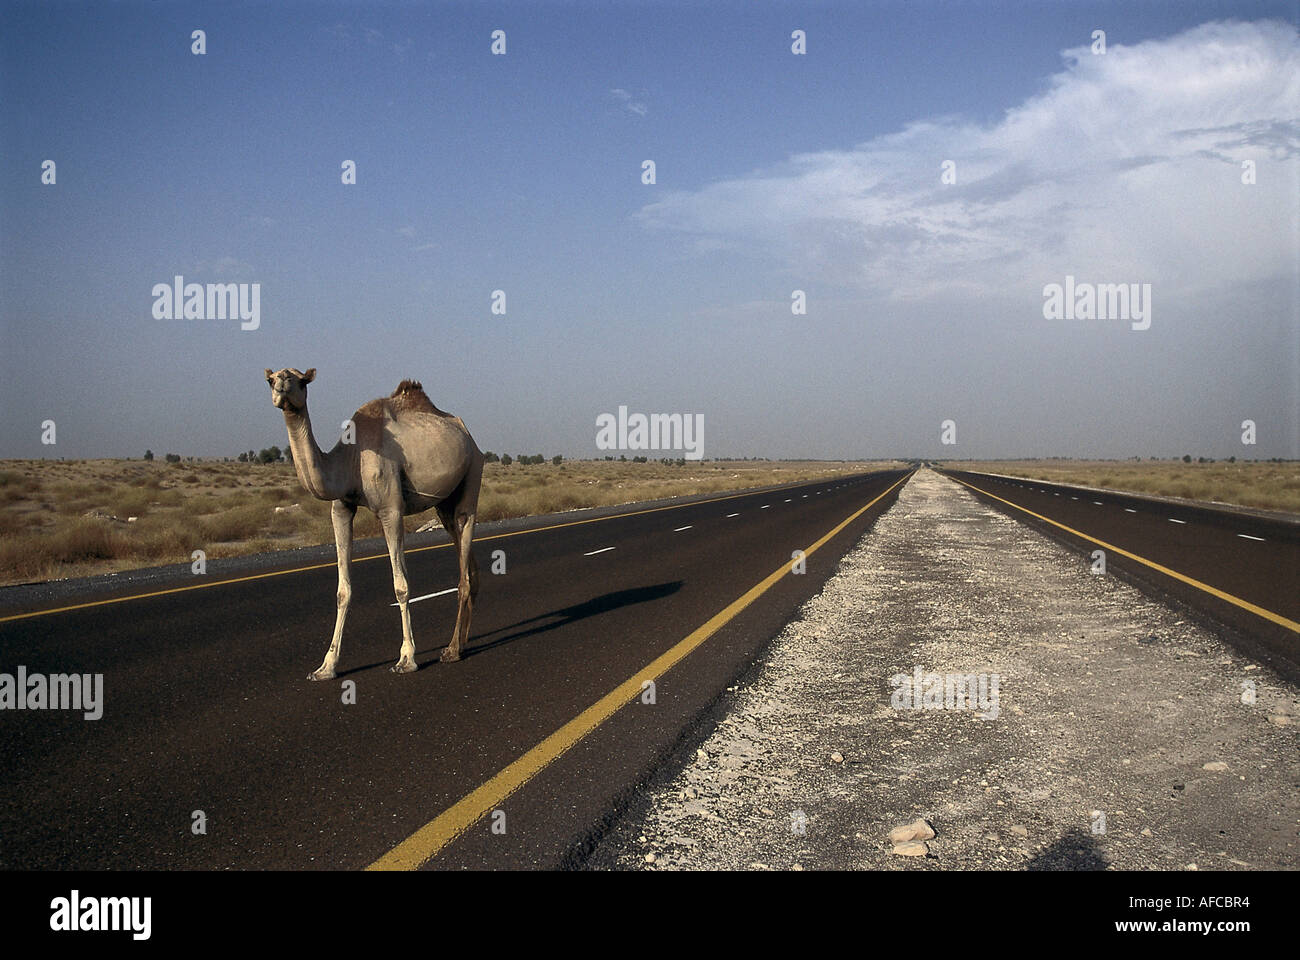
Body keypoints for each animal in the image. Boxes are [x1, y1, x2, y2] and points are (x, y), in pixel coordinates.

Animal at [263, 361, 483, 676]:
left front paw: (406, 659)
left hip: (473, 472)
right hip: (445, 504)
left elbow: (401, 586)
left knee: (464, 557)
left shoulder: (391, 509)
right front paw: (326, 666)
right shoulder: (341, 508)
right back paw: (462, 643)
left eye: (302, 381)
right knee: (466, 558)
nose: (281, 386)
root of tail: (470, 437)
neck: (350, 457)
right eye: (270, 380)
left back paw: (451, 650)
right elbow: (342, 591)